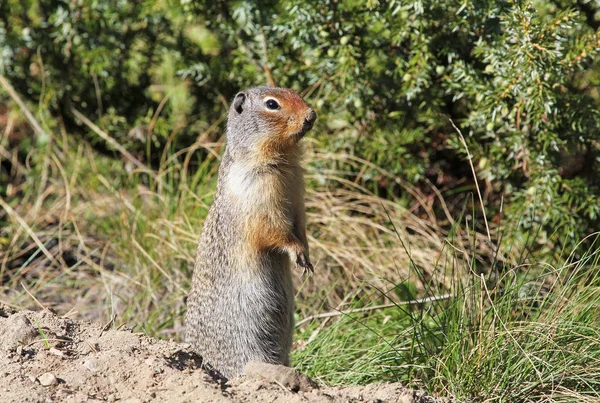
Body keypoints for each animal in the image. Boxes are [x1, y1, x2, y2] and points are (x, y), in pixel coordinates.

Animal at [184, 86, 316, 382]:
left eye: (295, 92)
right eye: (272, 104)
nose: (311, 115)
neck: (281, 163)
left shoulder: (298, 193)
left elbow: (300, 224)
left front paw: (307, 256)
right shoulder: (257, 194)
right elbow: (273, 230)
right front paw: (297, 252)